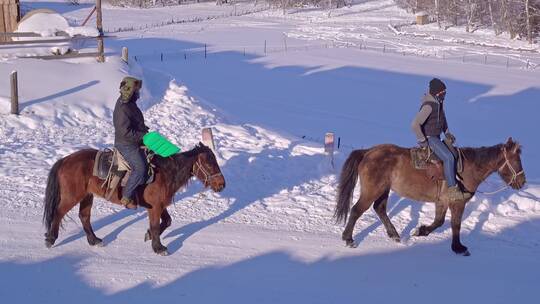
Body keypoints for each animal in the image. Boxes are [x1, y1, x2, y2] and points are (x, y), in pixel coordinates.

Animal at [42, 142, 226, 254]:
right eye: (209, 164)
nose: (222, 184)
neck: (166, 173)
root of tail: (65, 160)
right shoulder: (155, 207)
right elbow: (155, 225)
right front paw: (158, 247)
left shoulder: (160, 205)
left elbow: (167, 222)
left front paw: (149, 235)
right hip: (72, 196)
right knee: (58, 213)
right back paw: (50, 239)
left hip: (87, 196)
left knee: (84, 216)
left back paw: (94, 240)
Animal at [336, 139, 524, 255]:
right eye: (516, 161)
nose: (522, 182)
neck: (468, 169)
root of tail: (368, 152)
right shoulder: (457, 203)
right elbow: (455, 225)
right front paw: (458, 248)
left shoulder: (441, 202)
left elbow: (439, 222)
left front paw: (421, 231)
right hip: (372, 190)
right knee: (357, 210)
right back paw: (349, 239)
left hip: (383, 190)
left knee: (379, 209)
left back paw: (394, 235)